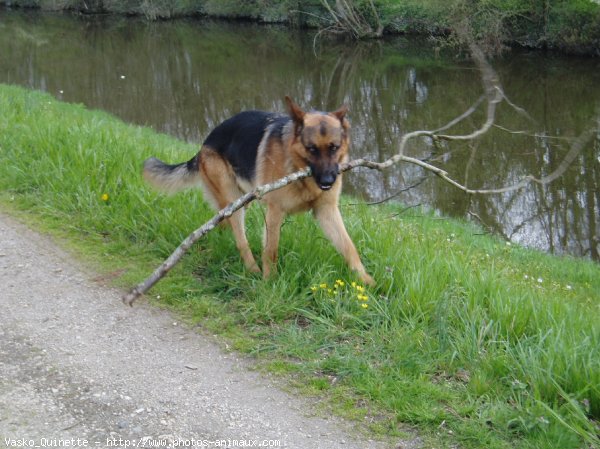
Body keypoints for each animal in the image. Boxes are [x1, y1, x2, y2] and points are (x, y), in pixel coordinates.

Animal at [142, 96, 372, 286]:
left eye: (334, 147)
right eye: (312, 149)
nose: (328, 181)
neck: (298, 168)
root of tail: (205, 143)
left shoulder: (326, 211)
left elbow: (349, 247)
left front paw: (366, 281)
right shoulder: (275, 212)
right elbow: (271, 250)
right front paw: (269, 282)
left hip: (244, 200)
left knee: (223, 225)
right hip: (234, 204)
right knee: (240, 240)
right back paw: (252, 270)